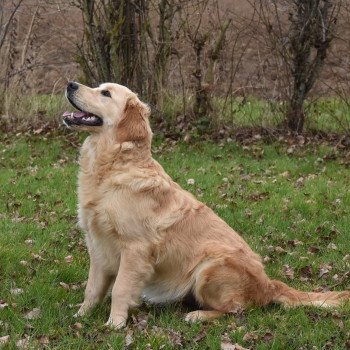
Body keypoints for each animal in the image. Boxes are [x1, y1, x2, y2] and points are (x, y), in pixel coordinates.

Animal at [62, 81, 348, 328]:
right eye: (99, 87)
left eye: (106, 94)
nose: (71, 84)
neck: (112, 166)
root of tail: (269, 284)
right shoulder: (98, 246)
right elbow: (92, 288)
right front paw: (81, 316)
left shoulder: (135, 248)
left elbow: (120, 288)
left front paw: (115, 324)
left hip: (209, 266)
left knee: (237, 309)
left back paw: (198, 315)